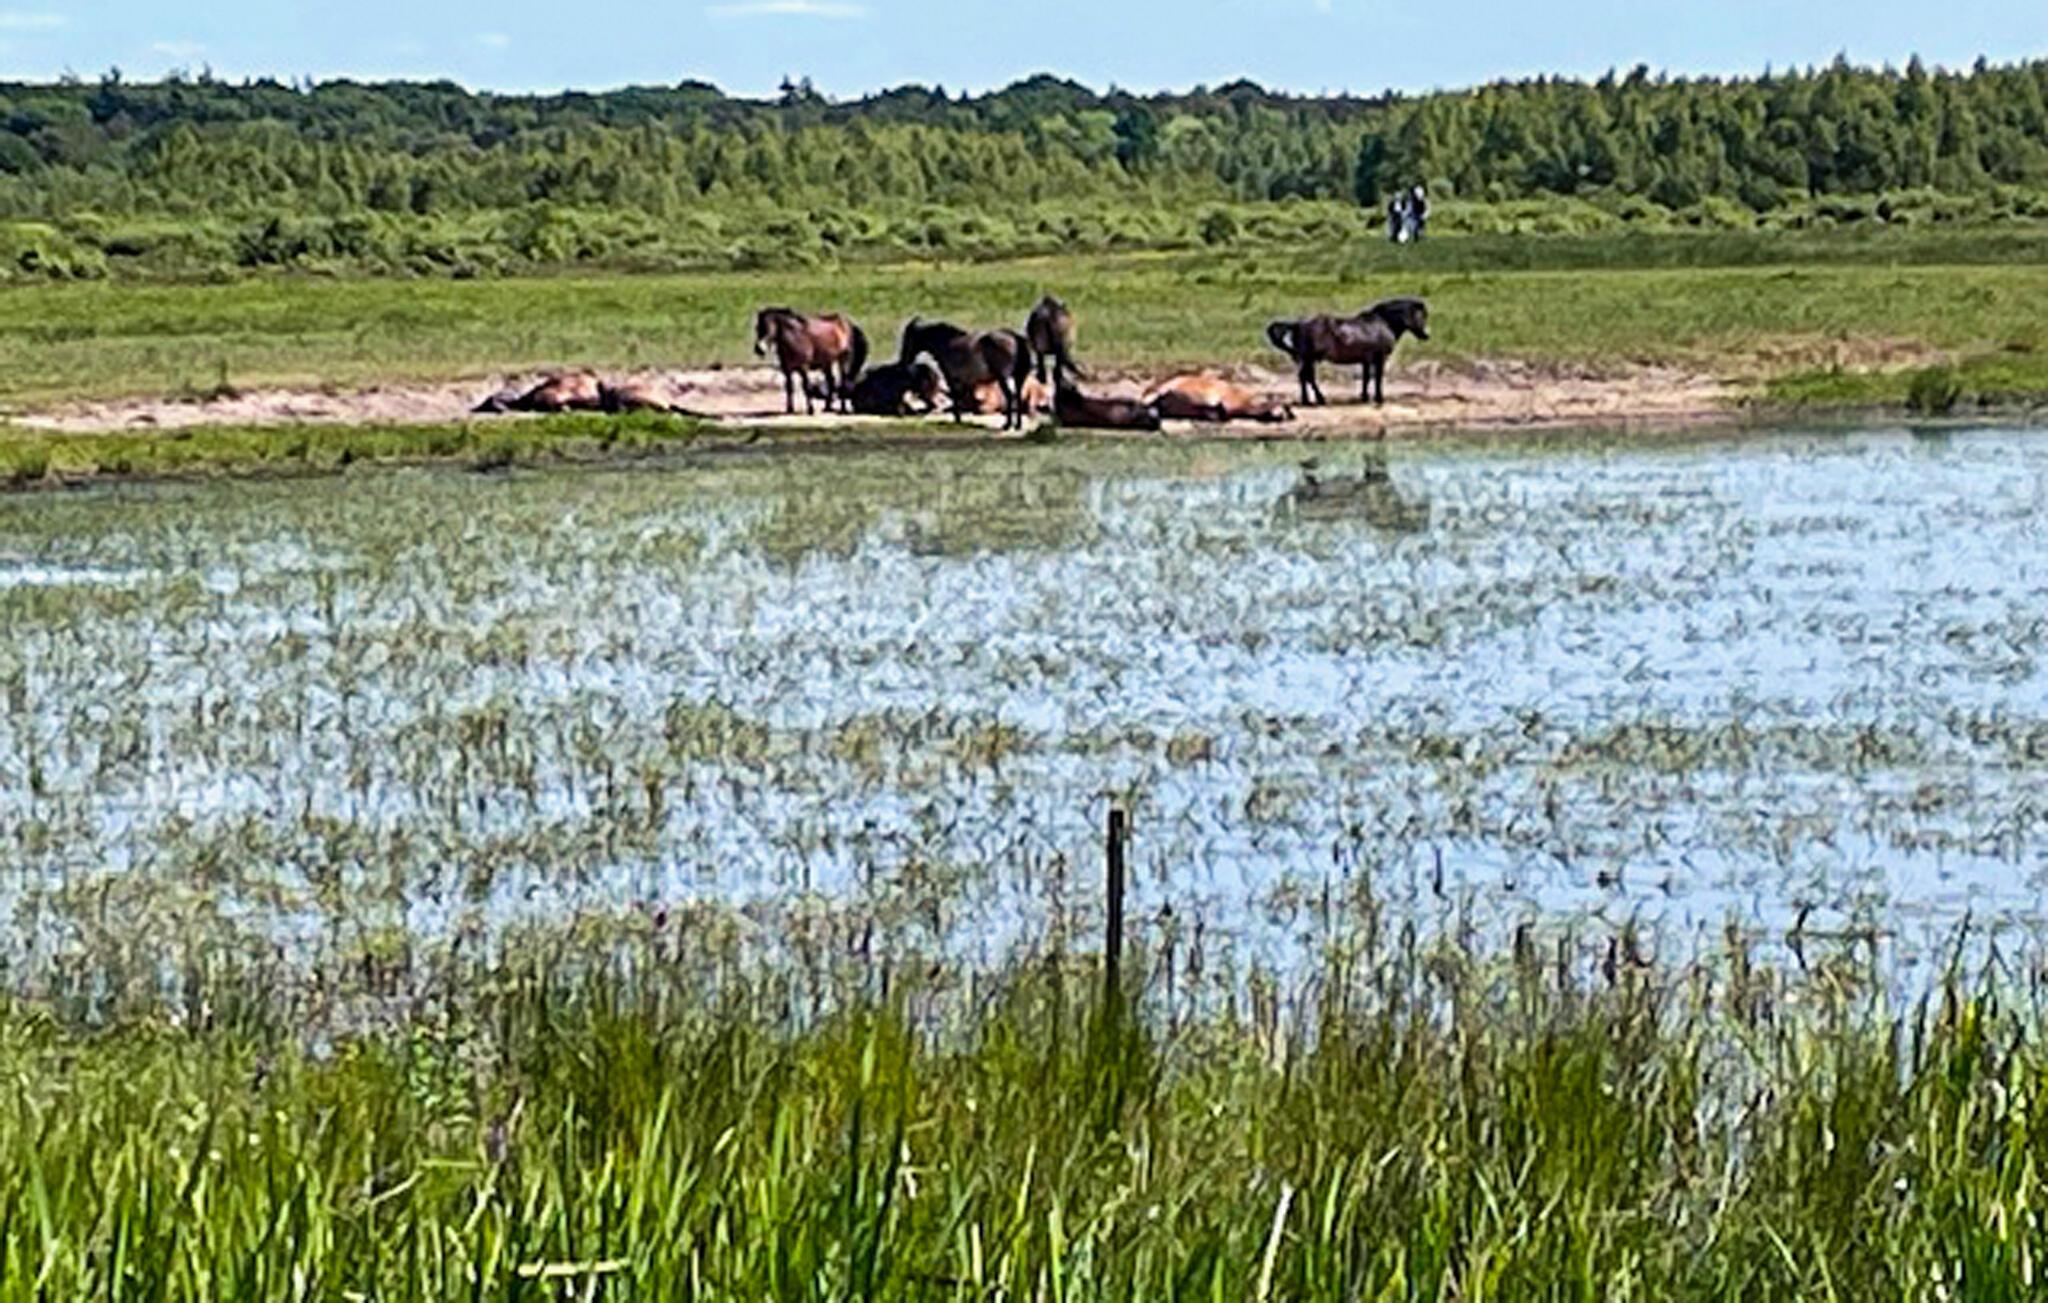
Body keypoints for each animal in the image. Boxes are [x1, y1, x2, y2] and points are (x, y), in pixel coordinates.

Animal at [898, 318, 1035, 430]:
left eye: (907, 338)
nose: (903, 360)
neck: (947, 343)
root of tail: (1013, 336)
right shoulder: (963, 381)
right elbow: (960, 397)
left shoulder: (951, 378)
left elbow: (955, 396)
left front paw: (957, 419)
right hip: (1019, 378)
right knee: (1018, 396)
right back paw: (1017, 425)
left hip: (1003, 378)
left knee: (1010, 396)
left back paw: (1007, 425)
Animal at [1265, 297, 1429, 407]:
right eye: (1421, 316)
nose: (1426, 335)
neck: (1382, 323)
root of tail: (1298, 324)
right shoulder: (1380, 358)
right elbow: (1378, 378)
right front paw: (1379, 398)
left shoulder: (1366, 360)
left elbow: (1366, 378)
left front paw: (1364, 397)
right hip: (1309, 358)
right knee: (1307, 377)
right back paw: (1317, 399)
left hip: (1305, 359)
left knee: (1304, 377)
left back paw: (1309, 400)